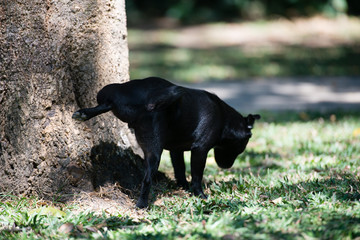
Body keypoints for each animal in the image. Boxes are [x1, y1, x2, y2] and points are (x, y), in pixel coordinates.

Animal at [72, 77, 258, 208]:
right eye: (241, 146)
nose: (227, 166)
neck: (224, 119)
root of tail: (147, 100)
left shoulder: (176, 151)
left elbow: (180, 170)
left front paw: (183, 187)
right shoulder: (201, 150)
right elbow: (196, 176)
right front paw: (199, 195)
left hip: (111, 95)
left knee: (105, 105)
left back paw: (84, 113)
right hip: (154, 153)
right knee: (147, 180)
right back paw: (142, 205)